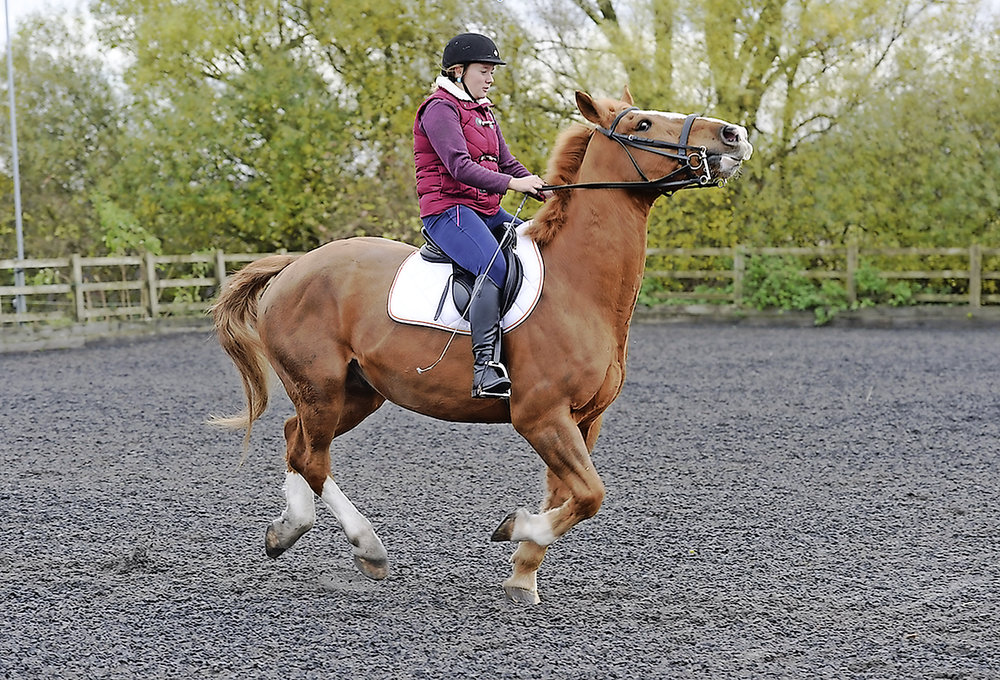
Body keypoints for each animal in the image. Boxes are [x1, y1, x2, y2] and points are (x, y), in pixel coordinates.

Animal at [211, 87, 752, 604]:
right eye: (642, 124)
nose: (734, 135)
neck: (578, 284)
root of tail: (294, 266)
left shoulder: (582, 421)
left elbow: (567, 495)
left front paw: (522, 575)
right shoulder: (541, 417)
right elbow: (589, 495)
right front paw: (515, 529)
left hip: (357, 393)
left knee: (294, 438)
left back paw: (287, 530)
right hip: (321, 389)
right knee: (312, 457)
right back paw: (368, 548)